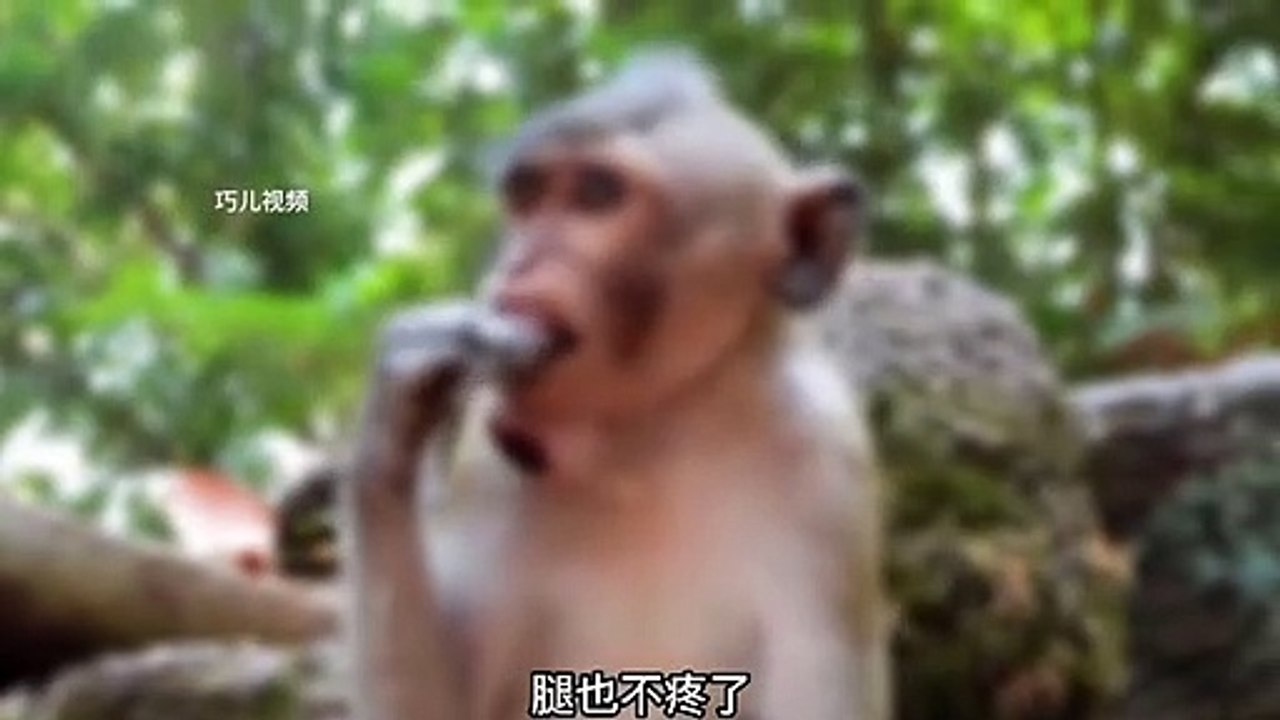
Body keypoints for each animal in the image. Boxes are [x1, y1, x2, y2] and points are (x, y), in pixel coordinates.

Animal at [342, 49, 889, 720]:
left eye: (597, 195)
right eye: (529, 198)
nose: (517, 265)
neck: (651, 440)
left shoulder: (823, 468)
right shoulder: (490, 460)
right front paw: (397, 412)